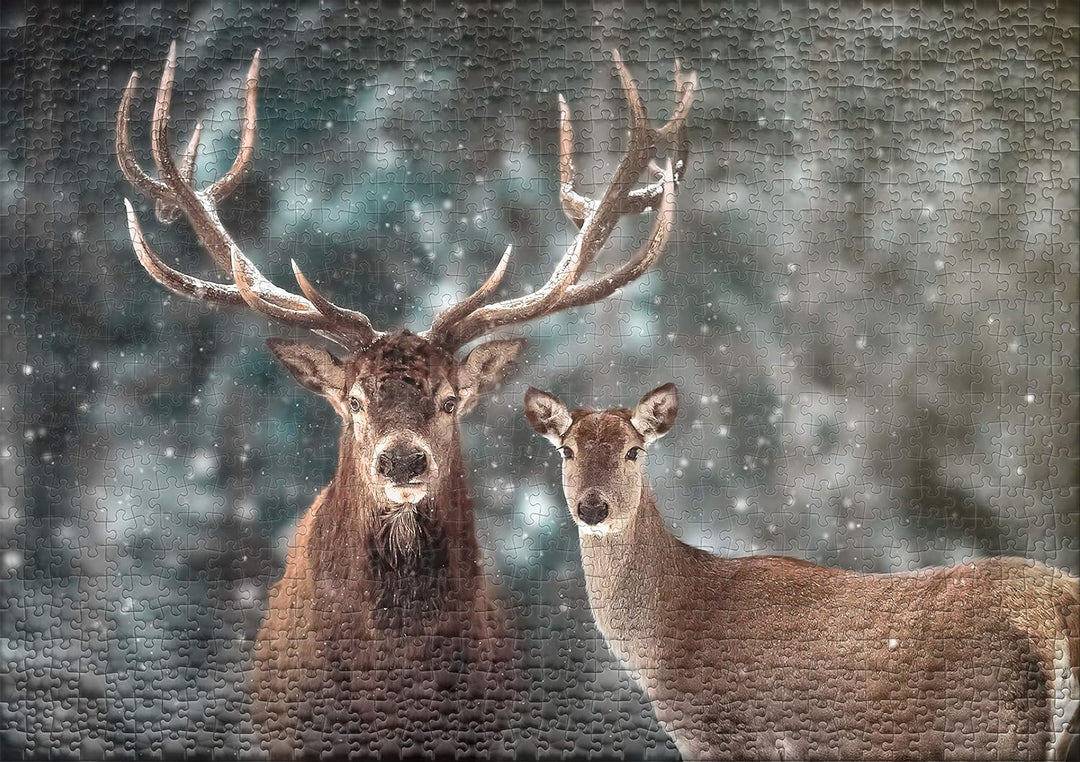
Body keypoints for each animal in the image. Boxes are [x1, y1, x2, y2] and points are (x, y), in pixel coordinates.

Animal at [524, 383, 1080, 761]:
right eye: (566, 450)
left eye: (633, 450)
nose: (592, 507)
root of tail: (1059, 605)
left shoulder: (726, 733)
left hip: (991, 724)